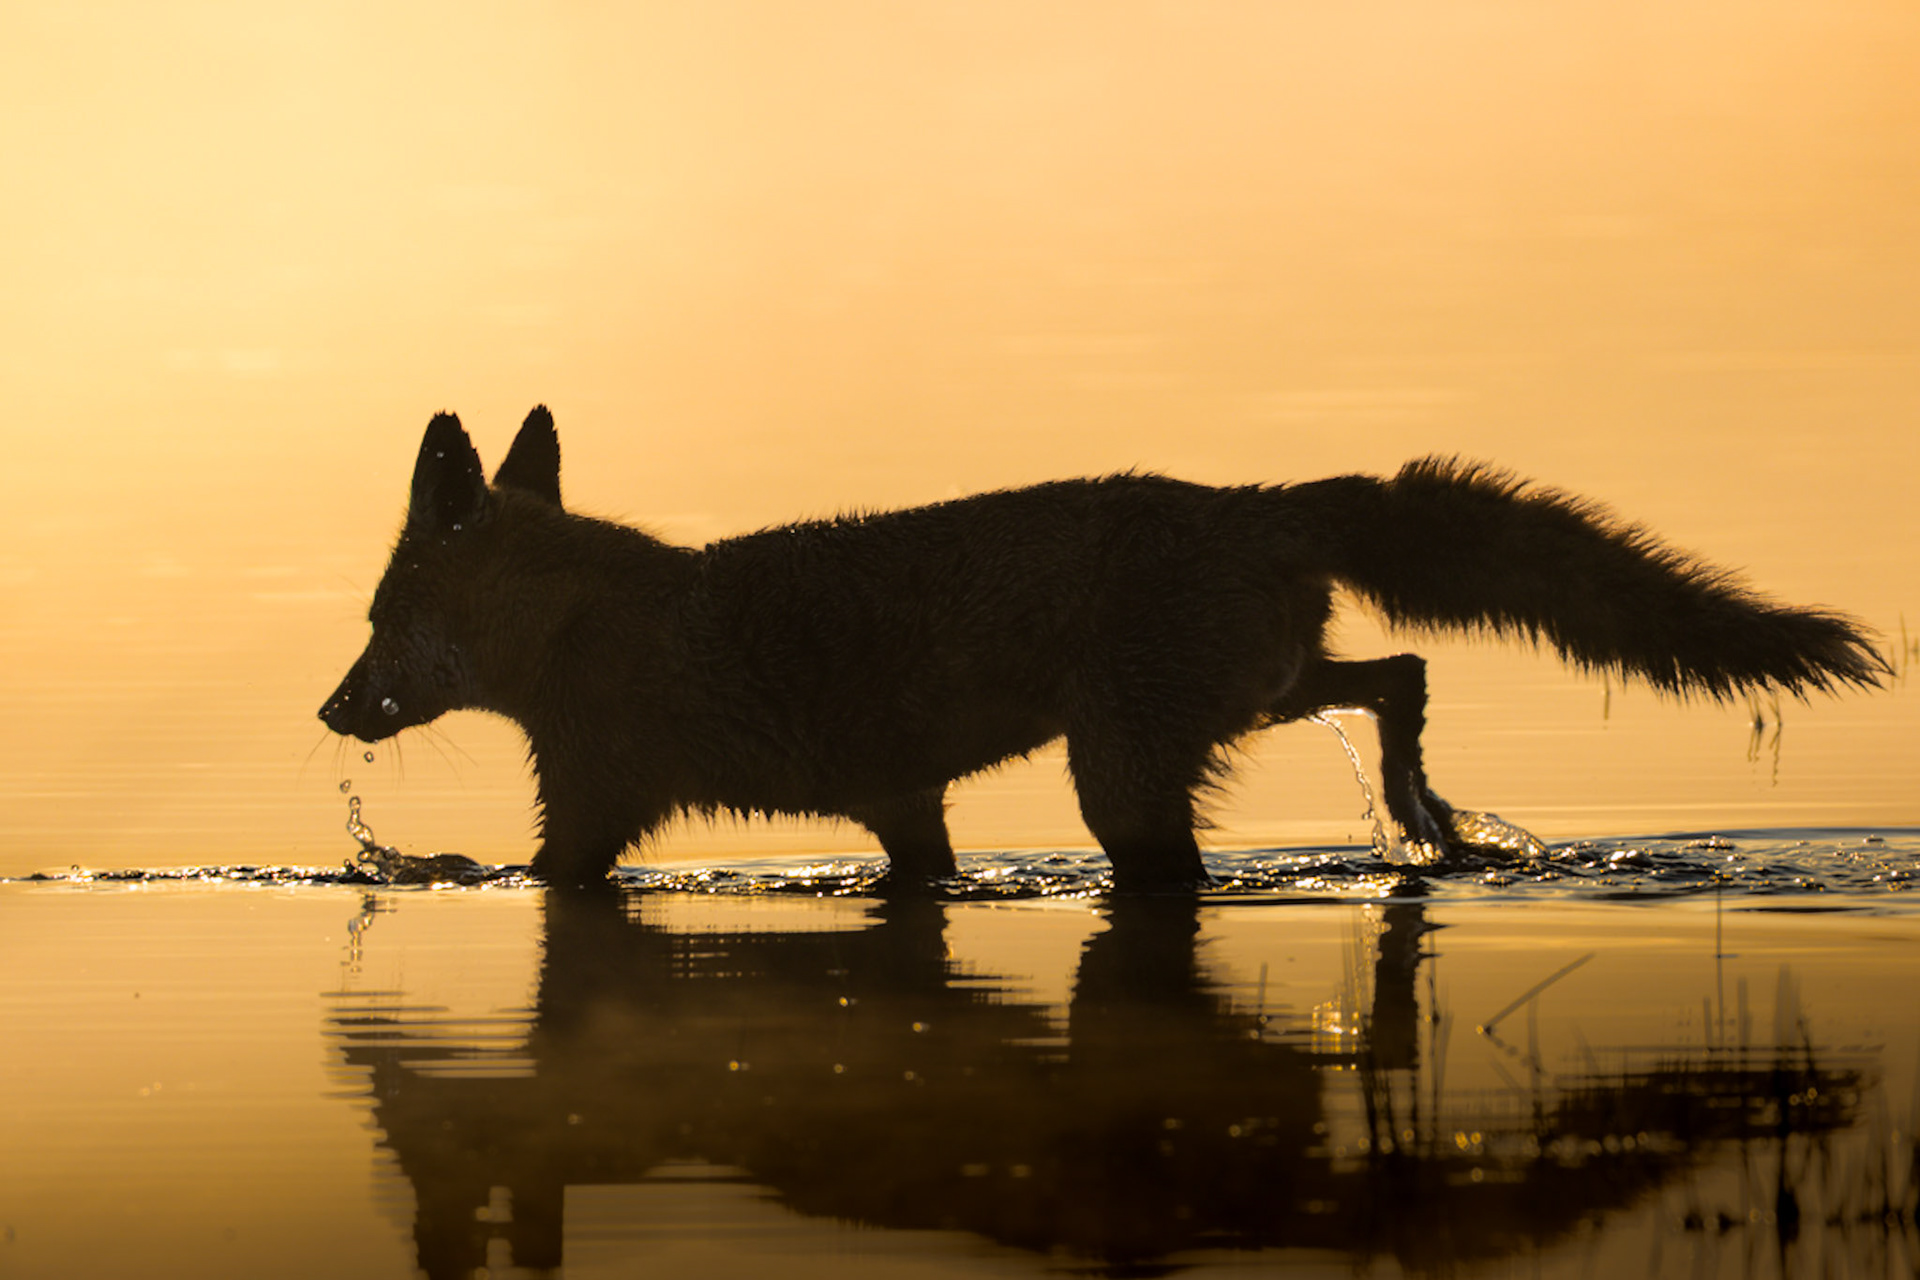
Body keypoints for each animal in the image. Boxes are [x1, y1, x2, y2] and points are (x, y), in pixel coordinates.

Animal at [320, 407, 1887, 891]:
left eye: (380, 620)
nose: (332, 713)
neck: (592, 621)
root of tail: (1258, 499)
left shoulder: (587, 823)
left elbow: (520, 875)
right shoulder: (902, 805)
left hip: (1124, 775)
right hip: (1253, 700)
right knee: (1405, 677)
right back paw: (1428, 818)